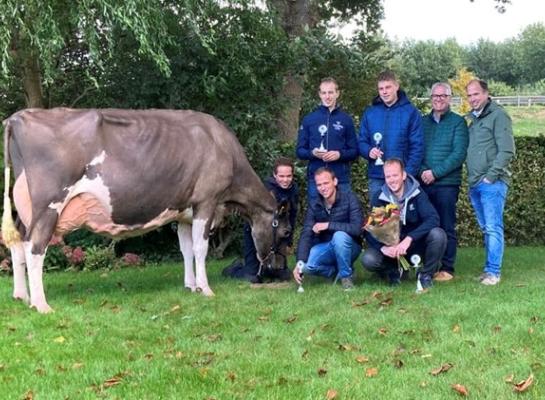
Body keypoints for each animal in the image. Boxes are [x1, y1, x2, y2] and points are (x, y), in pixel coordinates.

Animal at [2, 108, 292, 312]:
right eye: (286, 231)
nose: (278, 269)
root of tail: (18, 117)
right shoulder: (206, 202)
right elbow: (201, 248)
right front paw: (206, 289)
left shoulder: (183, 212)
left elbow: (186, 249)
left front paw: (190, 286)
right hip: (48, 204)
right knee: (35, 247)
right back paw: (41, 304)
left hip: (25, 208)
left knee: (18, 242)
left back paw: (21, 295)